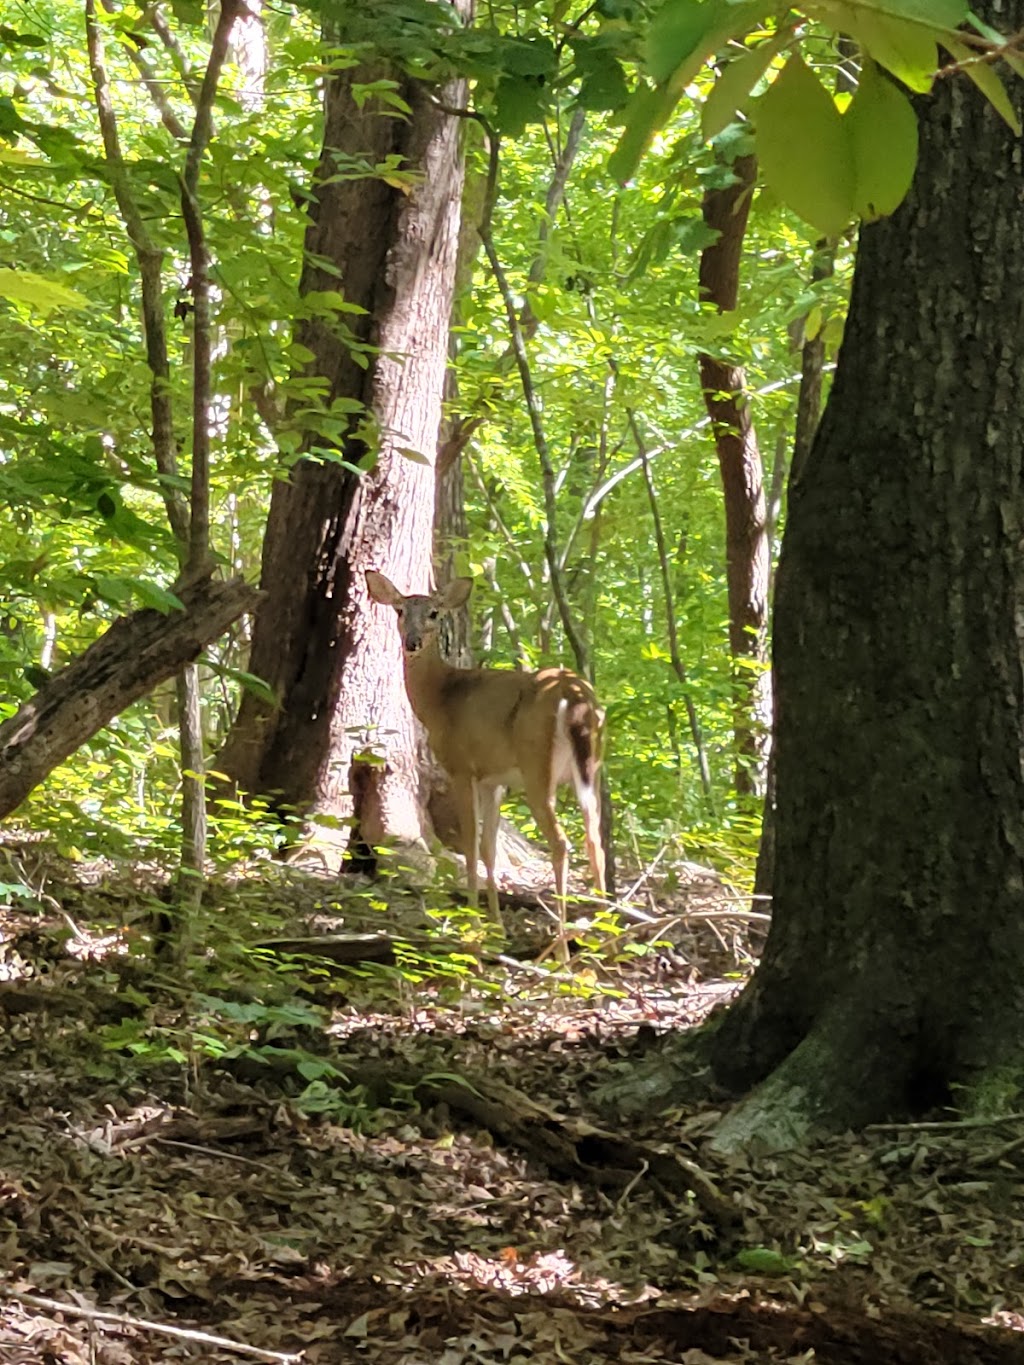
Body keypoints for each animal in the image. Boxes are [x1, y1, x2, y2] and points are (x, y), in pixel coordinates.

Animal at [368, 567, 608, 939]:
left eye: (434, 613)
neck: (439, 698)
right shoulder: (494, 779)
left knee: (561, 843)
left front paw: (474, 922)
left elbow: (470, 842)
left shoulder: (461, 767)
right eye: (400, 611)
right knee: (596, 841)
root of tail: (574, 695)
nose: (412, 642)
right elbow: (489, 847)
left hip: (537, 765)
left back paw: (563, 943)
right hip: (592, 768)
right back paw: (611, 938)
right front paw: (496, 924)